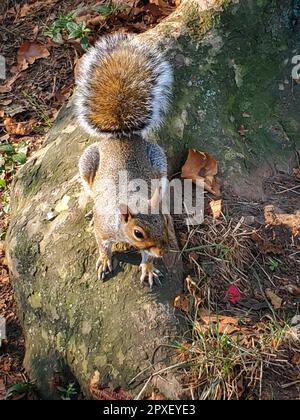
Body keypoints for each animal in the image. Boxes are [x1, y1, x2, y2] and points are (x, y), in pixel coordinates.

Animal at [75, 32, 173, 288]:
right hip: (87, 162)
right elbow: (102, 245)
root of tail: (121, 136)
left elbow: (146, 257)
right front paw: (104, 260)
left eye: (162, 223)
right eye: (138, 233)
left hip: (159, 161)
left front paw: (148, 268)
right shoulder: (104, 230)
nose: (164, 253)